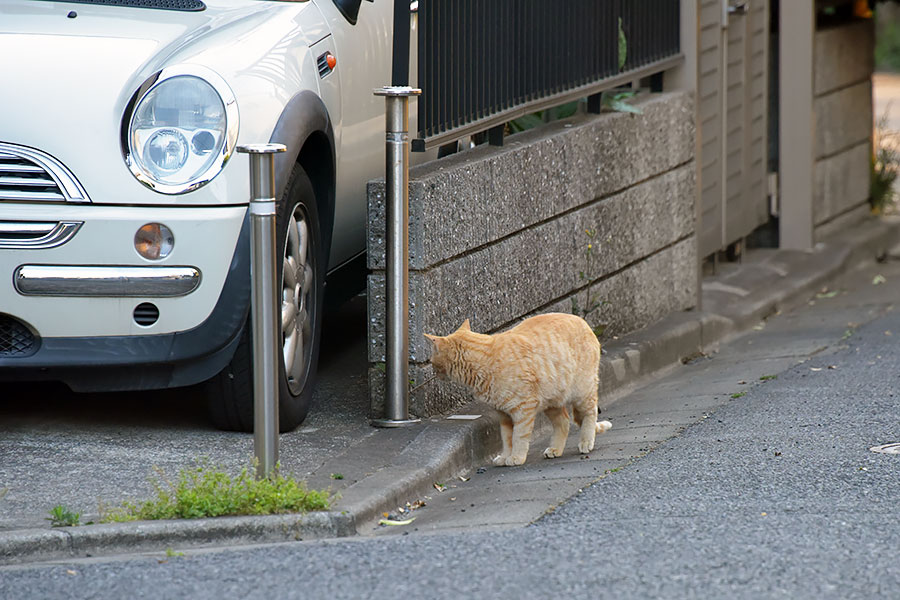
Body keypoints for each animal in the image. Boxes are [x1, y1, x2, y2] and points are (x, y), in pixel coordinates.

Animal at [424, 312, 612, 466]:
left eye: (432, 360)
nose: (433, 372)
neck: (485, 362)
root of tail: (582, 321)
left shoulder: (523, 409)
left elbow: (519, 436)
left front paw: (517, 457)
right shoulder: (503, 414)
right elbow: (507, 438)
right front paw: (505, 456)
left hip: (582, 392)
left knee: (590, 413)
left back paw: (586, 441)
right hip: (552, 401)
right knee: (564, 422)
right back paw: (555, 450)